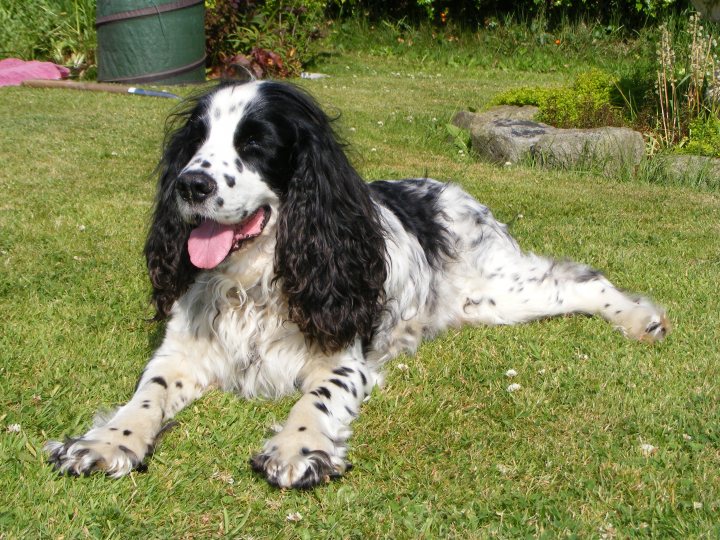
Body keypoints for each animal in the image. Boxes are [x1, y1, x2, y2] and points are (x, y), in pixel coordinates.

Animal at [47, 80, 668, 490]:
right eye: (195, 140)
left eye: (255, 144)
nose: (190, 184)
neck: (256, 280)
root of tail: (449, 189)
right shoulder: (181, 352)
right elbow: (145, 395)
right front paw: (105, 443)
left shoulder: (342, 356)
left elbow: (317, 399)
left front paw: (297, 448)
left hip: (498, 292)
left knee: (583, 280)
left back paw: (640, 319)